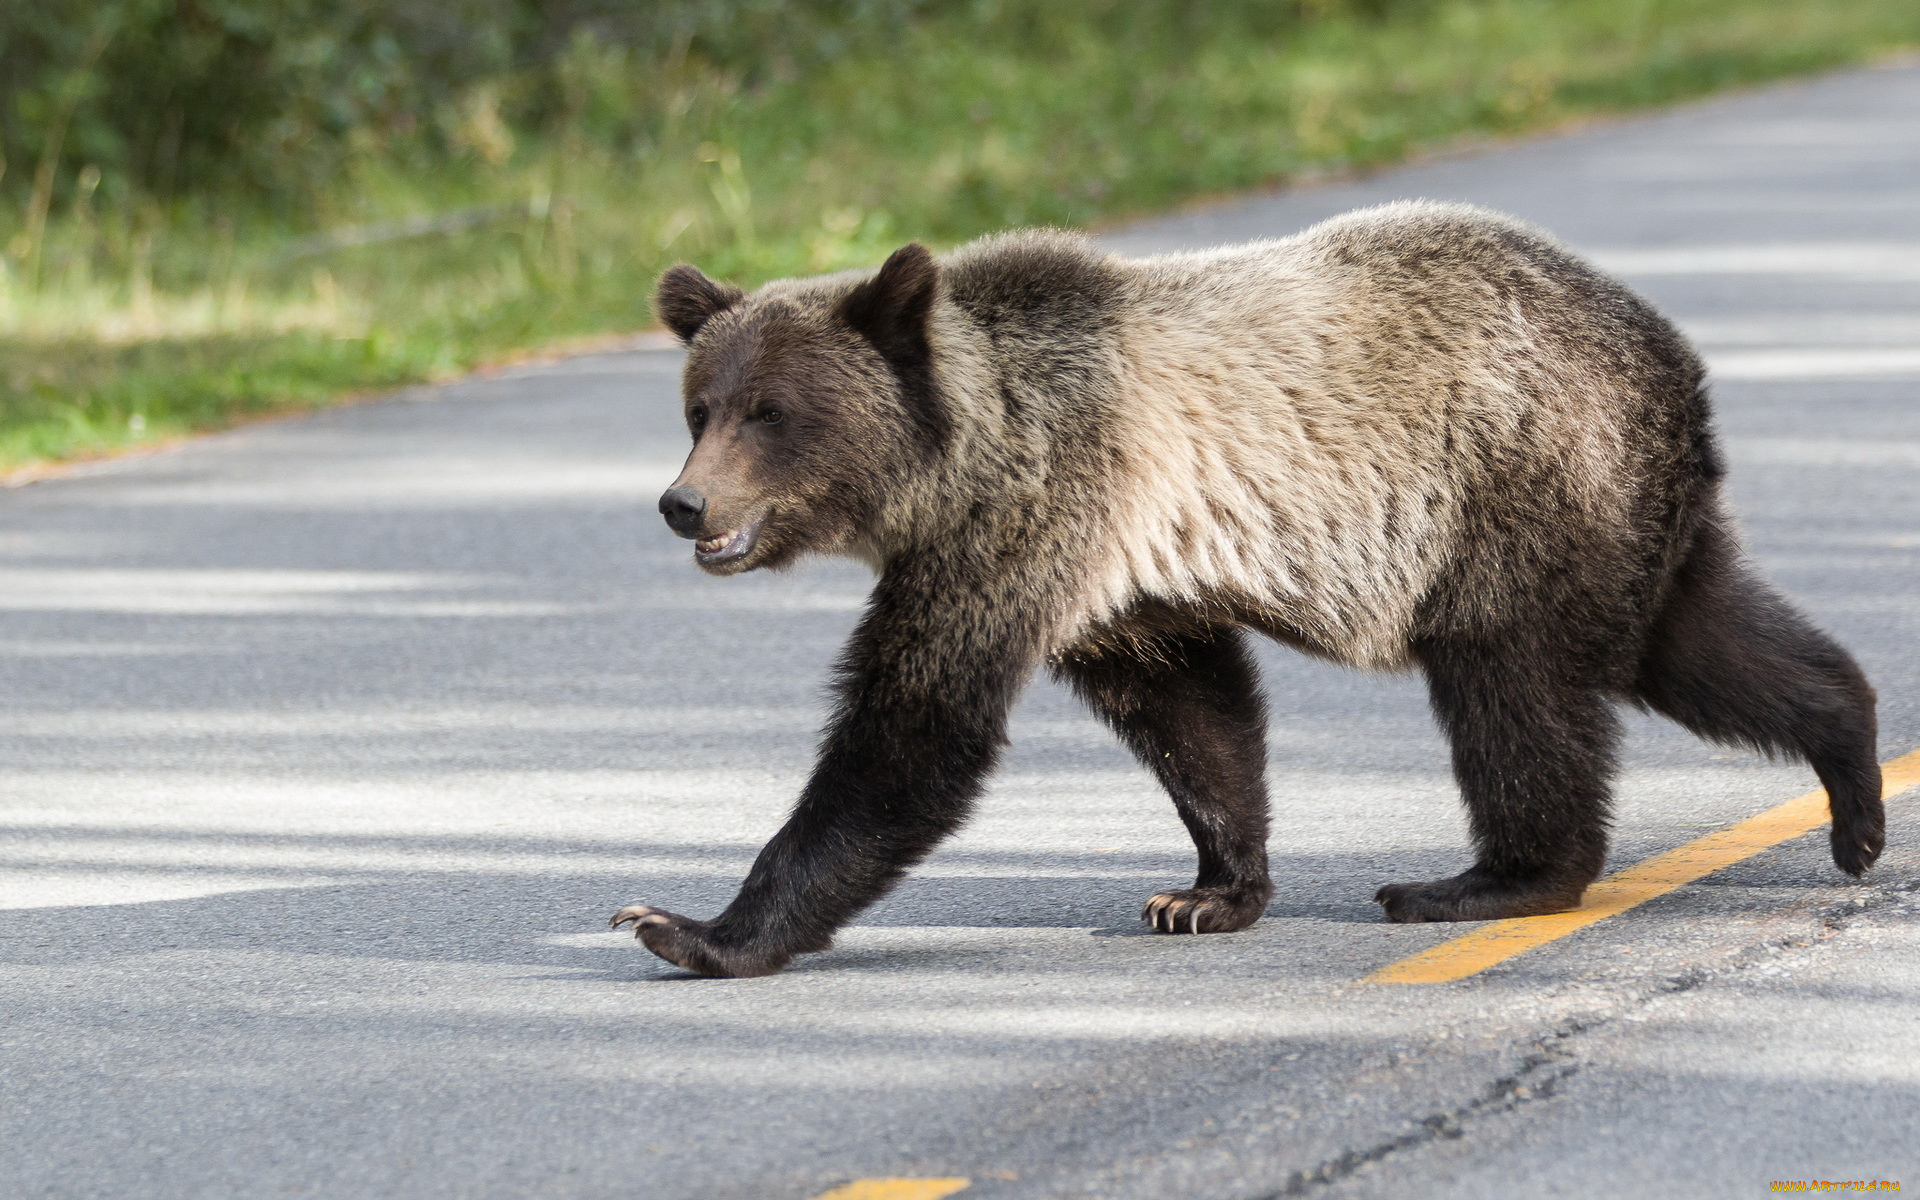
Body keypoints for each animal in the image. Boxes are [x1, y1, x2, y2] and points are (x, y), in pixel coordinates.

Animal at [610, 201, 1873, 979]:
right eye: (698, 407)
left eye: (770, 412)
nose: (684, 504)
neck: (962, 460)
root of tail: (1672, 353)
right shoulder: (1114, 578)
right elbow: (1195, 715)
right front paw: (1208, 890)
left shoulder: (1037, 513)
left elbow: (914, 729)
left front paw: (687, 926)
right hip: (1618, 517)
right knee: (1704, 639)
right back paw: (1855, 786)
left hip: (1517, 488)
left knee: (1515, 692)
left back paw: (1483, 881)